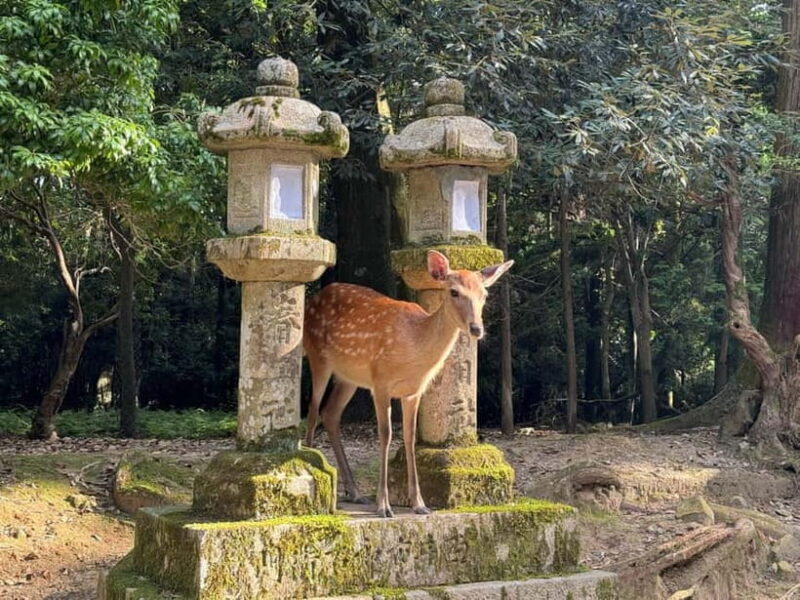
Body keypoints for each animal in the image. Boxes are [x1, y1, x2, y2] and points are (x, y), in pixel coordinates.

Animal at [303, 250, 513, 518]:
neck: (414, 347)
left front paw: (419, 503)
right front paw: (384, 506)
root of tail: (311, 302)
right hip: (318, 356)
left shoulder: (413, 391)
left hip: (349, 377)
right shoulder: (381, 382)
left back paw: (354, 492)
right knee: (312, 411)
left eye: (484, 294)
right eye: (454, 292)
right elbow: (386, 435)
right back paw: (317, 474)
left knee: (330, 414)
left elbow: (410, 438)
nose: (477, 328)